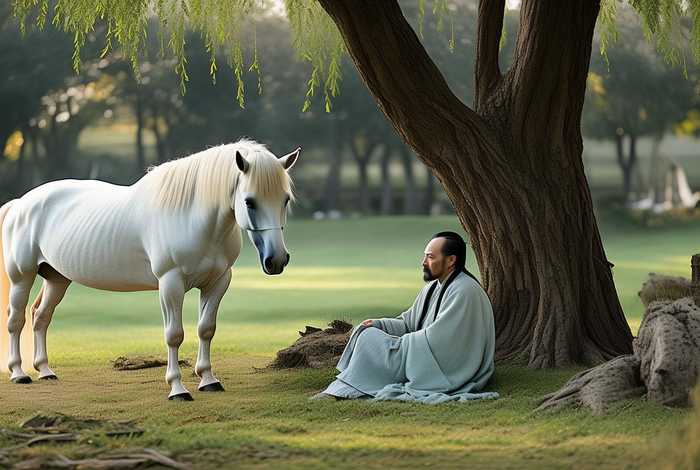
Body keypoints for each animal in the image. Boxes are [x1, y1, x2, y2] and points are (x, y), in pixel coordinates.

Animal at [0, 139, 299, 400]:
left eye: (285, 199)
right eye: (249, 201)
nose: (276, 260)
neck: (190, 216)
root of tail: (20, 203)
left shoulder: (217, 282)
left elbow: (206, 329)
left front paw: (208, 380)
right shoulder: (170, 283)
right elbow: (174, 335)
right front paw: (177, 389)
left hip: (57, 279)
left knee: (41, 317)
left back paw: (45, 371)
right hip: (22, 278)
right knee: (16, 320)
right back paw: (19, 373)